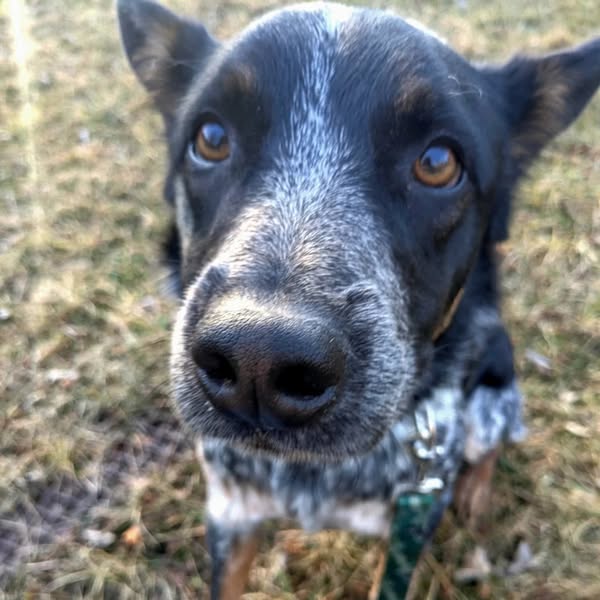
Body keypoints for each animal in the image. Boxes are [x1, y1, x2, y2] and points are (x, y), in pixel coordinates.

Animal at [117, 1, 600, 596]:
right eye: (210, 137)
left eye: (438, 162)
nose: (259, 360)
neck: (313, 475)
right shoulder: (232, 513)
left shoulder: (410, 519)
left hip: (494, 392)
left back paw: (475, 494)